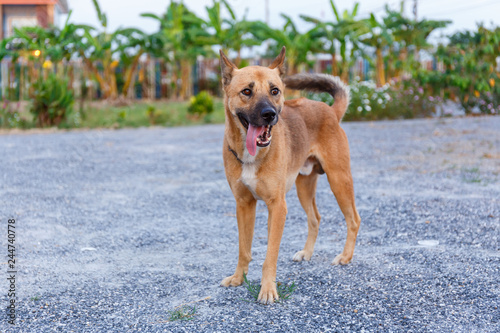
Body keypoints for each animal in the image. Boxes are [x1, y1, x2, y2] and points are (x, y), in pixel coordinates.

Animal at [219, 46, 360, 304]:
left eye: (275, 90)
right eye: (247, 91)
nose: (269, 114)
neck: (252, 155)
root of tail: (329, 110)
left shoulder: (277, 207)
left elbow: (269, 256)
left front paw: (267, 290)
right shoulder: (244, 205)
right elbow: (244, 250)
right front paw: (238, 278)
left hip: (339, 180)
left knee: (354, 219)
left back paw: (345, 257)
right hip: (304, 186)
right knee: (315, 218)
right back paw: (307, 252)